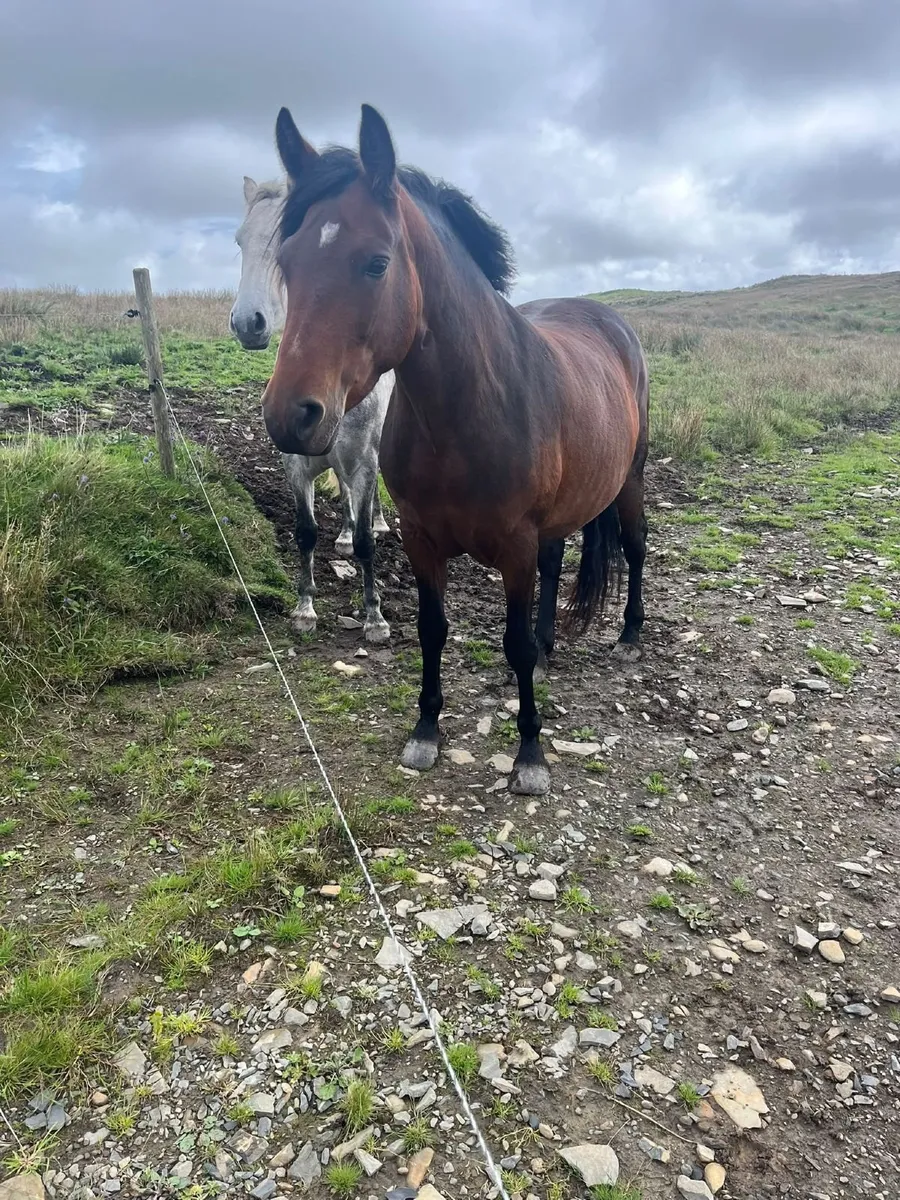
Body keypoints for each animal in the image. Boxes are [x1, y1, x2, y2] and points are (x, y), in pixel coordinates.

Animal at [230, 174, 392, 644]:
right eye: (240, 241)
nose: (247, 323)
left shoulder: (364, 461)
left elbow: (366, 542)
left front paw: (374, 617)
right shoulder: (295, 464)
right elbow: (305, 533)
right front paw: (304, 608)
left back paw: (376, 521)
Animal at [260, 104, 649, 797]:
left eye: (376, 263)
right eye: (288, 259)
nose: (291, 416)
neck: (465, 417)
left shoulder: (515, 545)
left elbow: (512, 642)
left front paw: (530, 755)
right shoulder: (422, 538)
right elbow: (432, 629)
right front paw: (425, 730)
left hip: (628, 480)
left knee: (634, 547)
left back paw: (628, 635)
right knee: (557, 569)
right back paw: (551, 649)